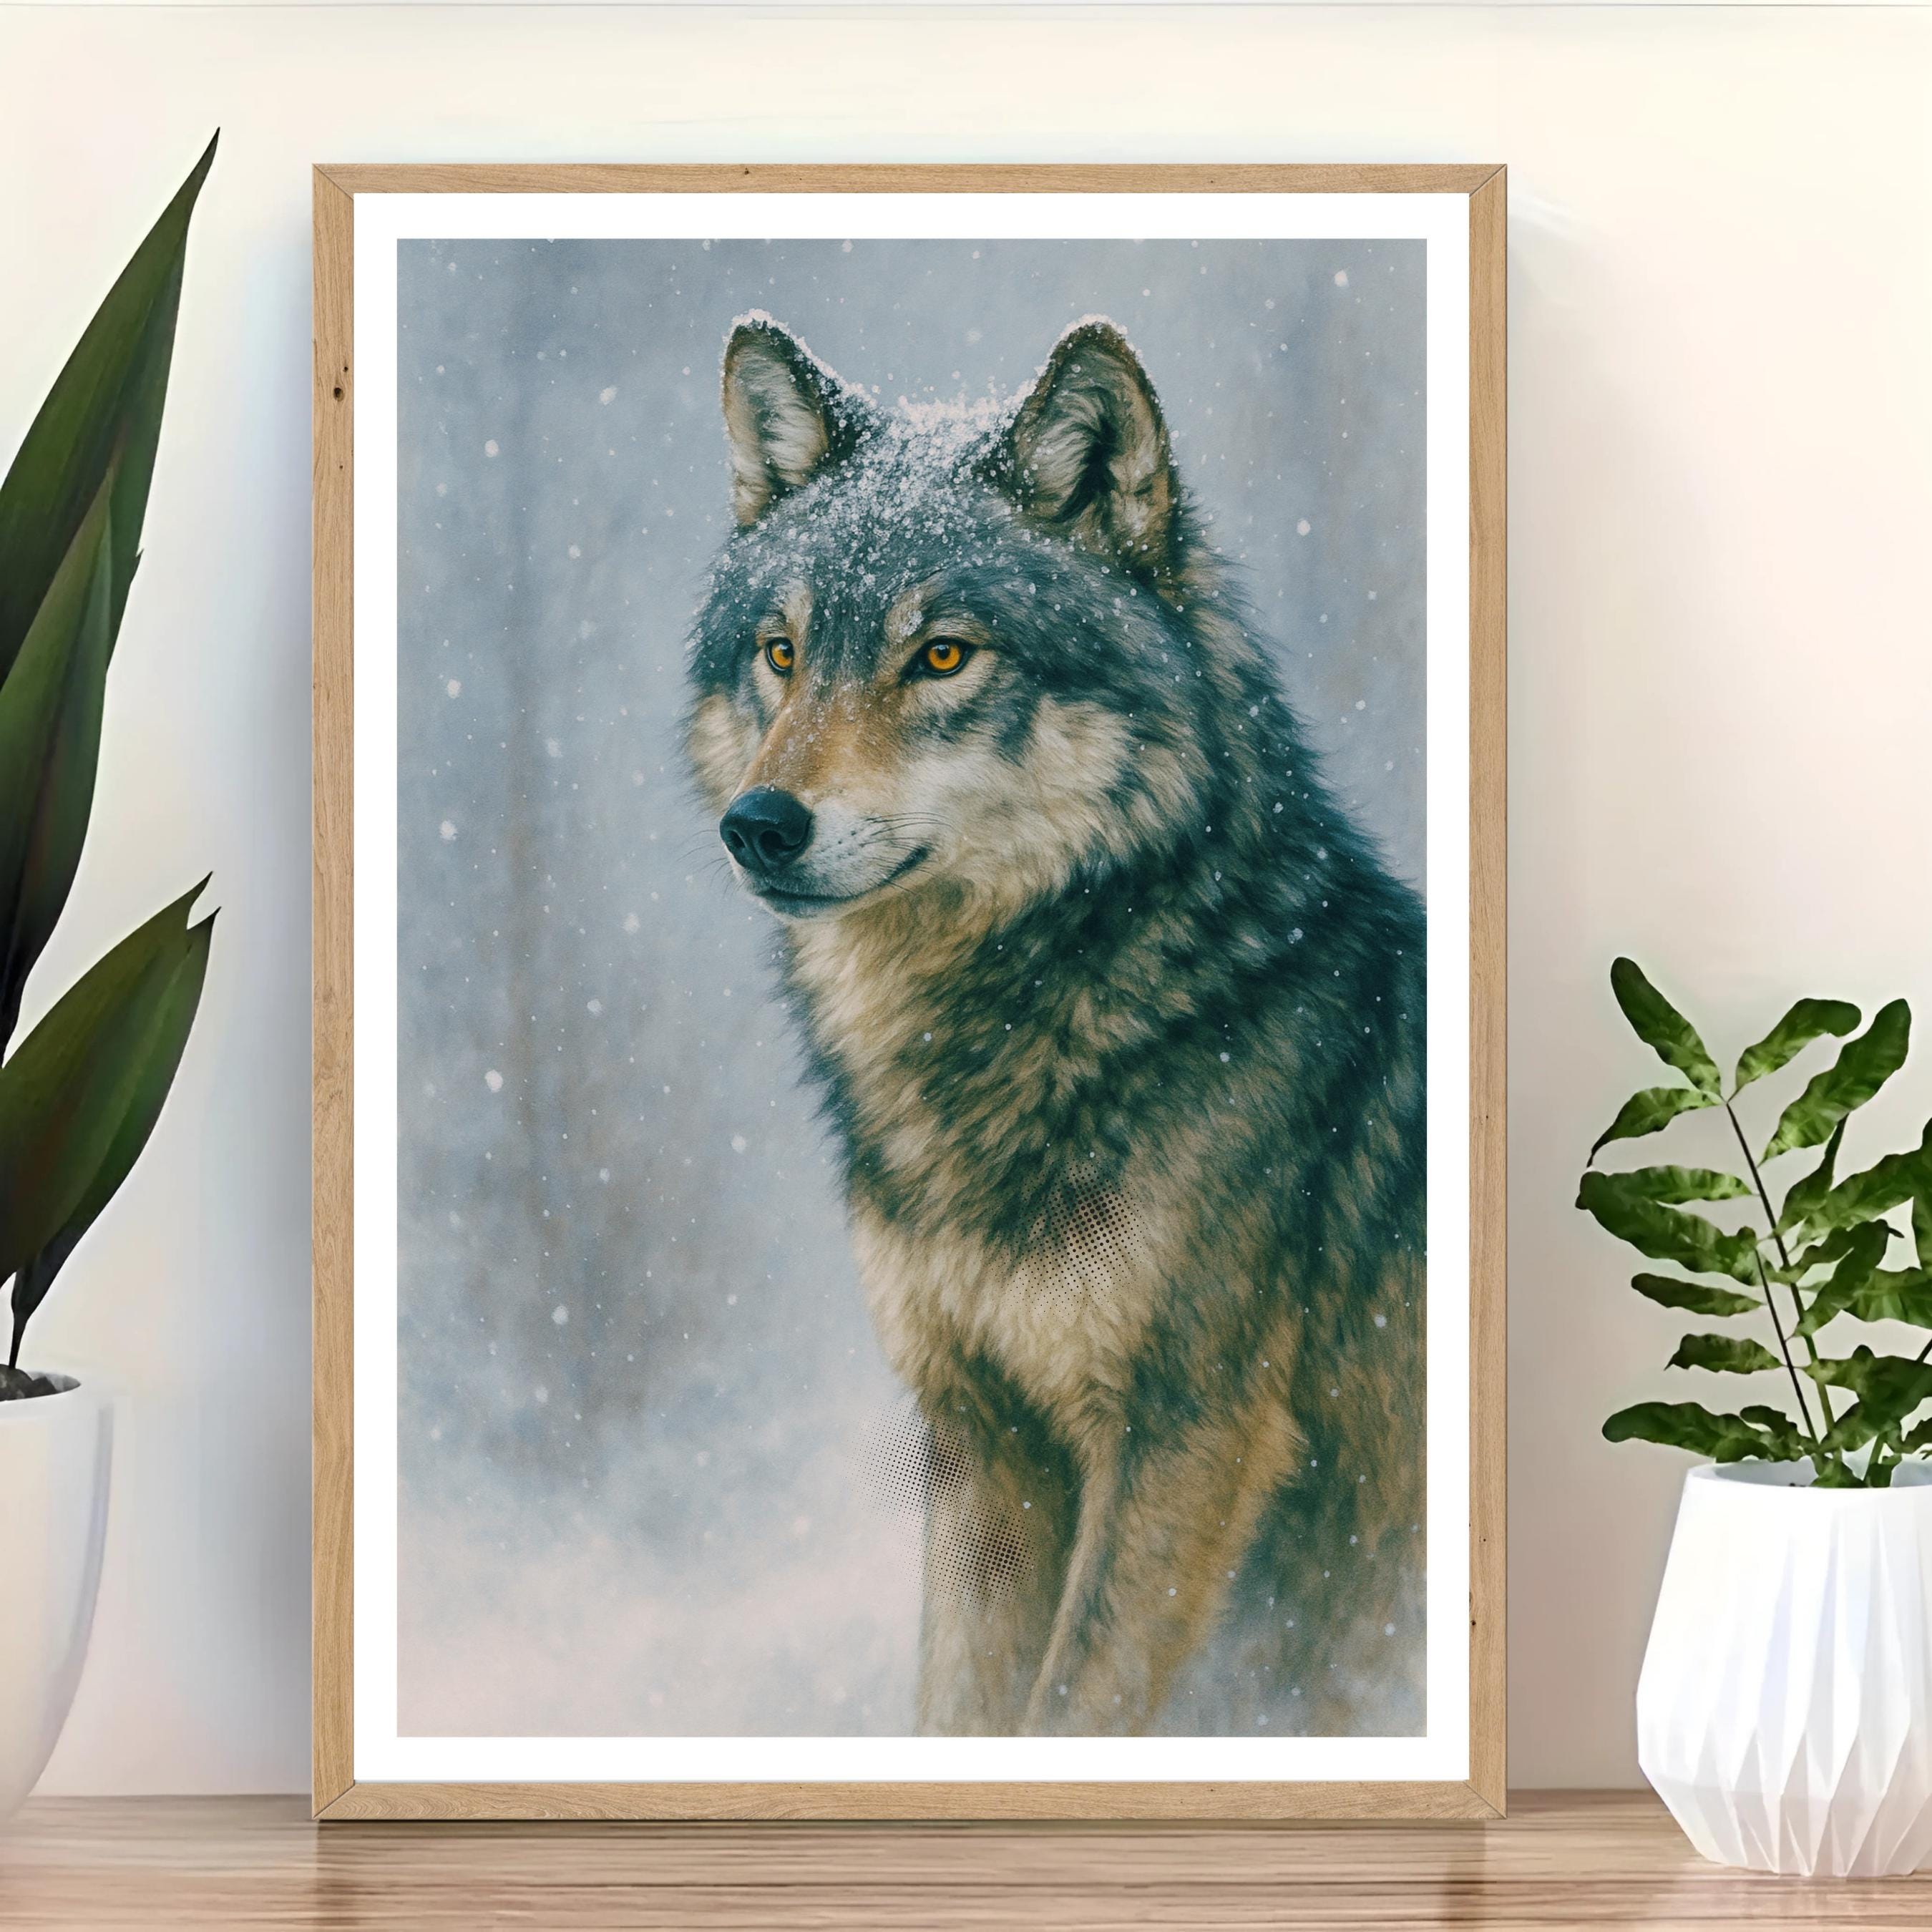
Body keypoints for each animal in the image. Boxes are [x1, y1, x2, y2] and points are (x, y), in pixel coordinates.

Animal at [683, 311, 1426, 1737]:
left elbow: (1069, 1713)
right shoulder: (982, 1442)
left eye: (943, 655)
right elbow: (962, 1715)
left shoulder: (1184, 1441)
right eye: (783, 652)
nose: (758, 826)